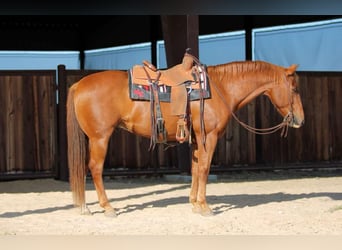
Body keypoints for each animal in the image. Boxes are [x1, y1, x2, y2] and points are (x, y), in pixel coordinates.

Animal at [66, 56, 304, 217]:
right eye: (294, 89)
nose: (300, 120)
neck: (220, 88)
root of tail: (78, 84)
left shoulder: (197, 139)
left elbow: (195, 169)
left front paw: (194, 203)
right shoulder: (209, 136)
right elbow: (205, 168)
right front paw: (205, 206)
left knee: (85, 168)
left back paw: (84, 207)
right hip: (100, 138)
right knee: (95, 168)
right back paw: (106, 207)